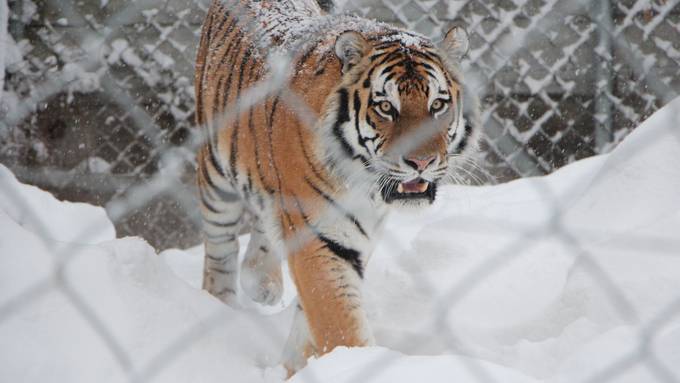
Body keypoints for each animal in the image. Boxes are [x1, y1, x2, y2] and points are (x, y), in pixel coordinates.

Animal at [193, 0, 478, 376]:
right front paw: (358, 363)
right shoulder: (320, 236)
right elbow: (337, 319)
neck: (366, 184)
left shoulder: (356, 238)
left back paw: (262, 283)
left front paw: (296, 369)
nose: (422, 161)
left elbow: (311, 321)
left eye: (438, 105)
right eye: (385, 107)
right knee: (219, 251)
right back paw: (217, 305)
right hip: (215, 176)